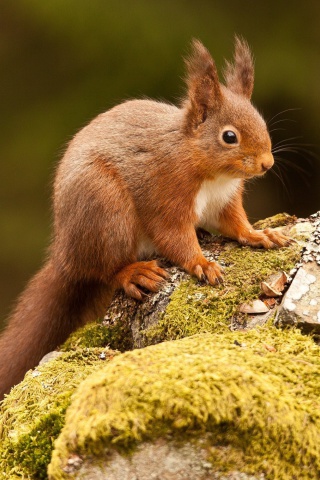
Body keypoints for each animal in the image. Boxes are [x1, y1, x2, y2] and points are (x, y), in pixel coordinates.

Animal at [0, 36, 290, 398]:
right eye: (229, 137)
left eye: (261, 122)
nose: (267, 163)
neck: (209, 171)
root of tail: (65, 254)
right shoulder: (164, 194)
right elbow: (173, 236)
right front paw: (201, 263)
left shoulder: (224, 202)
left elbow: (236, 224)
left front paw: (259, 235)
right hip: (106, 211)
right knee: (104, 269)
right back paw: (134, 273)